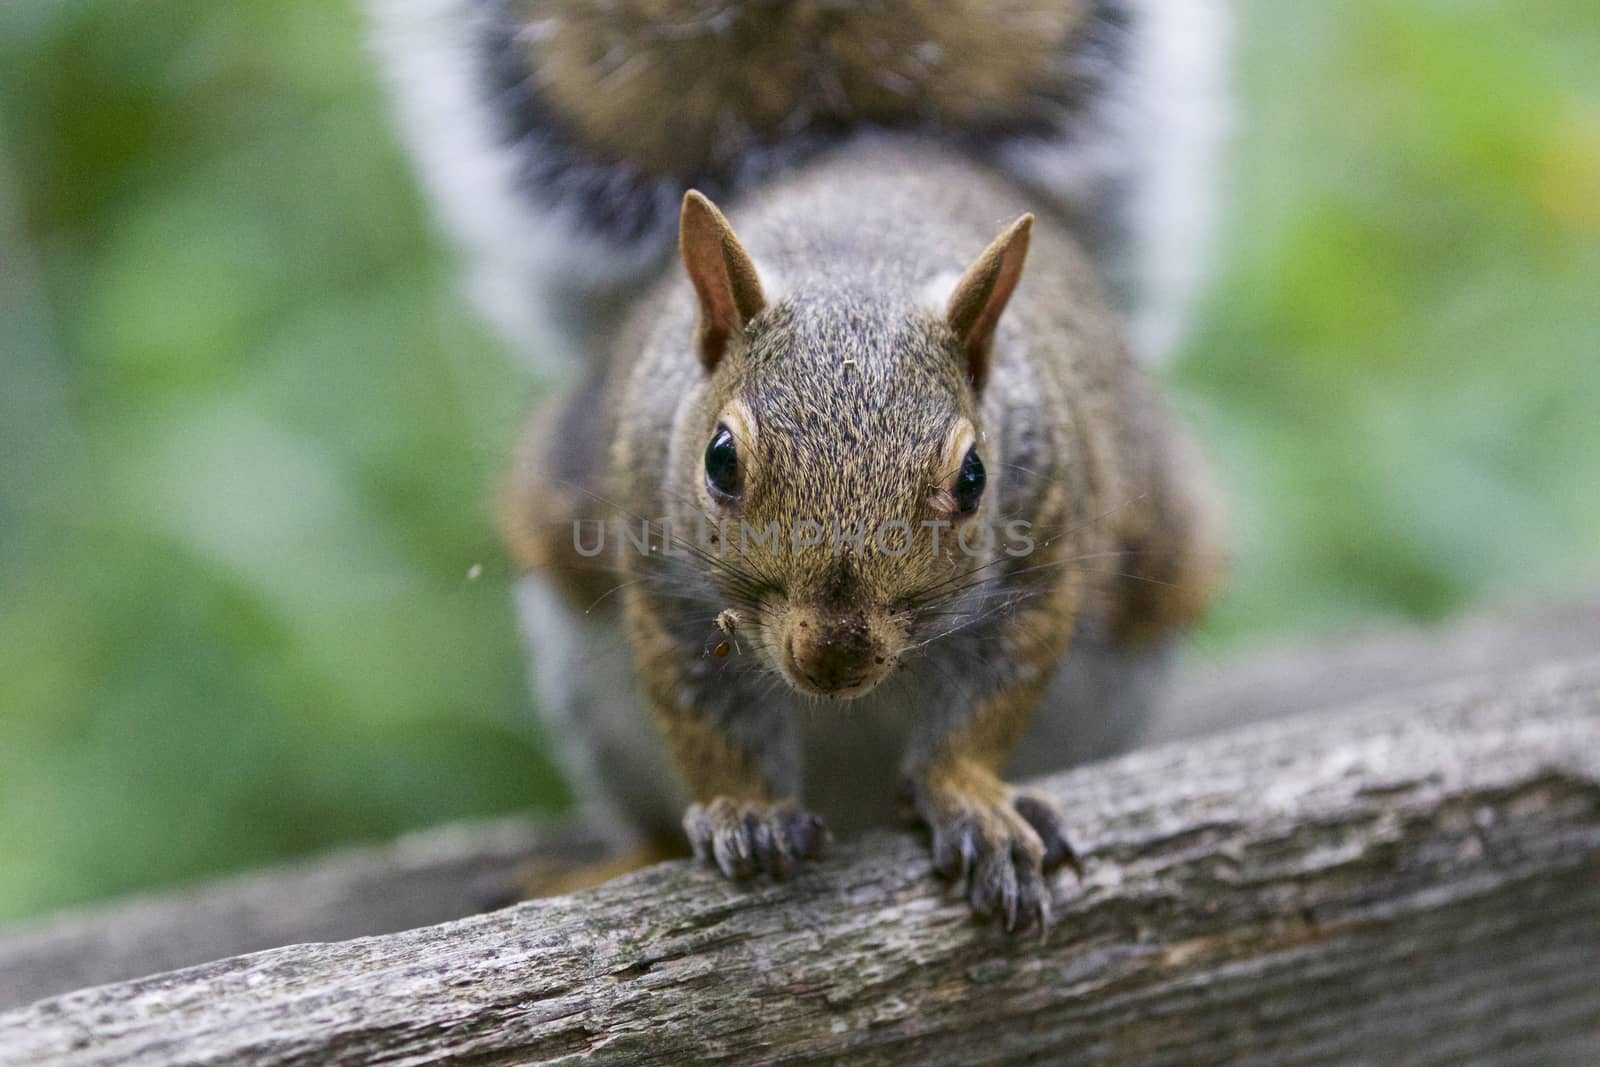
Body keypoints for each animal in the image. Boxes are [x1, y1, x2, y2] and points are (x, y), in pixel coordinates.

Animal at [371, 0, 1222, 927]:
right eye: (720, 460)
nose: (835, 655)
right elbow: (703, 716)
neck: (859, 261)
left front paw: (973, 801)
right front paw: (746, 811)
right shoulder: (661, 574)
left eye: (973, 479)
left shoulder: (1049, 537)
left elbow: (989, 706)